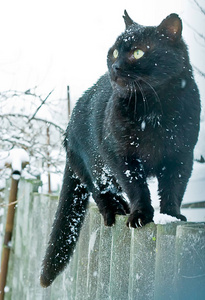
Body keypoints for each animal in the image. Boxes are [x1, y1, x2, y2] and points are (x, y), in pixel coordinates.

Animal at [40, 10, 200, 288]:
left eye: (138, 52)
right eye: (114, 52)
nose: (115, 67)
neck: (154, 111)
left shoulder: (182, 156)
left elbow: (174, 188)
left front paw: (171, 216)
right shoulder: (122, 158)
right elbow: (136, 187)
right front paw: (140, 215)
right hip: (90, 165)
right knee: (99, 191)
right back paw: (115, 210)